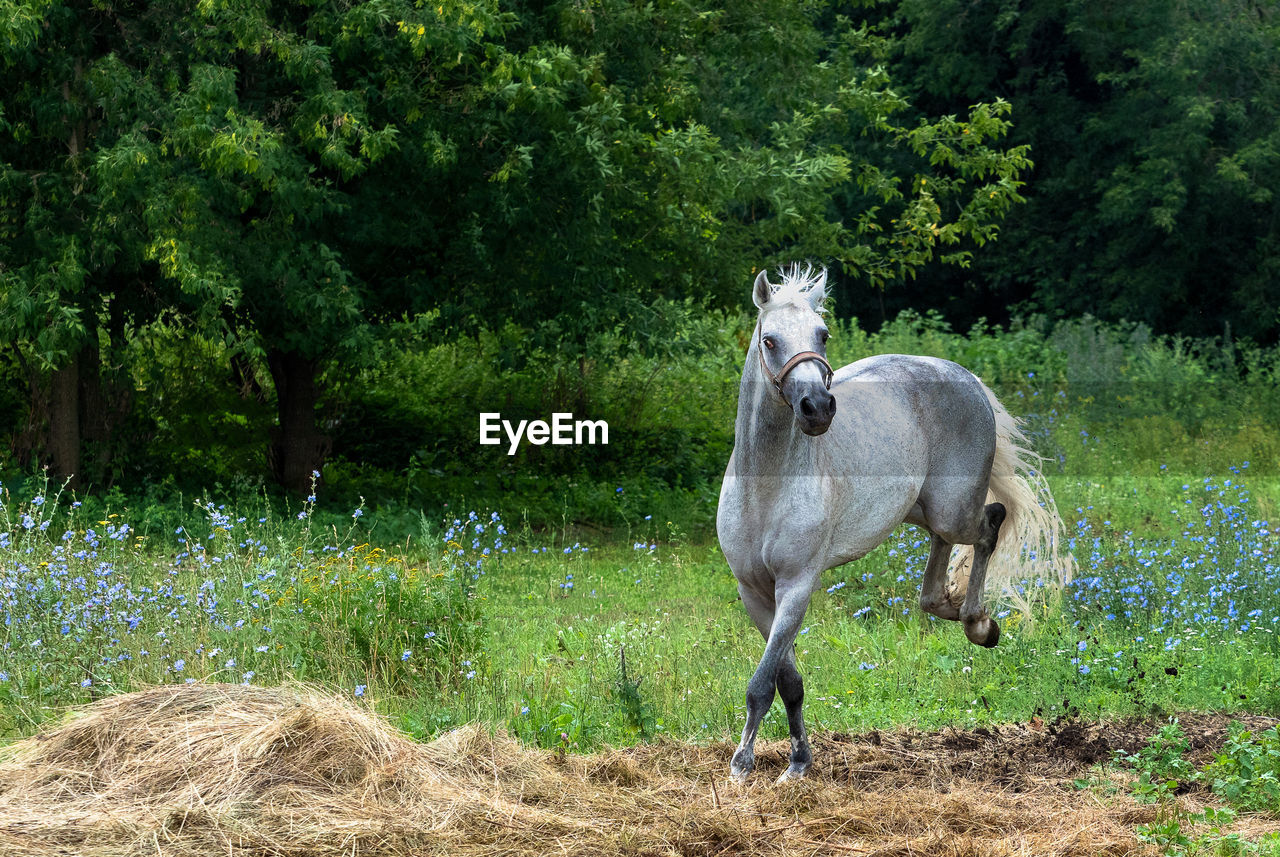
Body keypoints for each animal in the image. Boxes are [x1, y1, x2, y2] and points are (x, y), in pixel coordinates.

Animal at [721, 264, 1070, 782]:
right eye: (770, 339)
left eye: (822, 334)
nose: (817, 408)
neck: (766, 485)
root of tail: (964, 375)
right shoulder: (755, 592)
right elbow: (788, 681)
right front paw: (798, 762)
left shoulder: (797, 586)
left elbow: (762, 684)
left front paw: (742, 767)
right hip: (918, 508)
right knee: (940, 560)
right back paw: (951, 607)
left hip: (951, 507)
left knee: (990, 523)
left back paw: (979, 623)